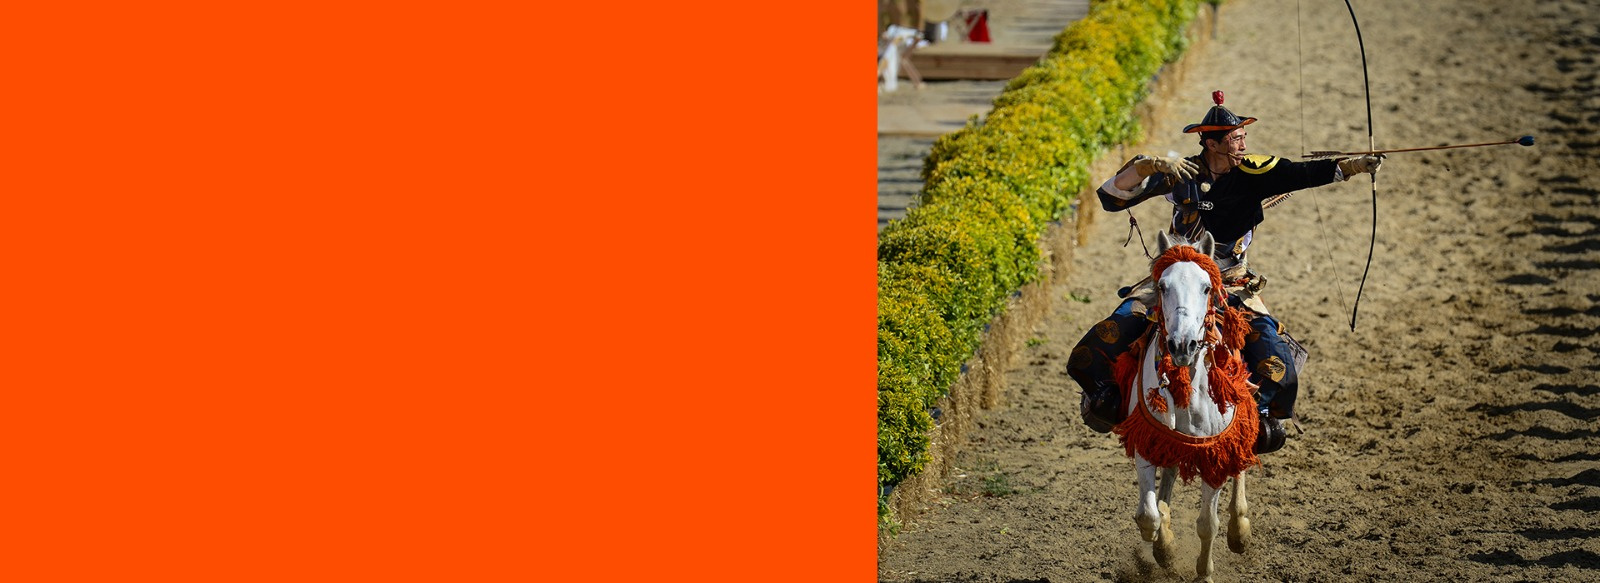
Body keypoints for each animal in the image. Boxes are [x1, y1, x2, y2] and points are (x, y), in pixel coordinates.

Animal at [1113, 230, 1260, 579]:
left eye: (1206, 287)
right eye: (1163, 286)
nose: (1183, 345)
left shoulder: (1214, 455)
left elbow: (1208, 523)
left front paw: (1204, 572)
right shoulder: (1148, 442)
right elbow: (1148, 515)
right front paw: (1164, 549)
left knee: (1241, 467)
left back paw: (1240, 531)